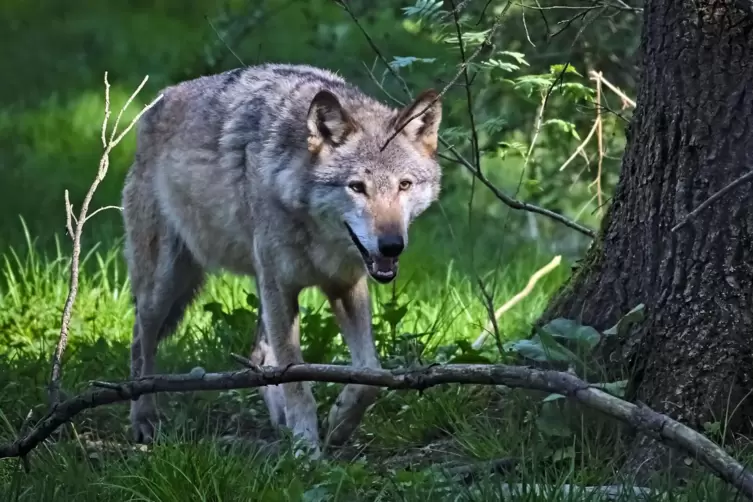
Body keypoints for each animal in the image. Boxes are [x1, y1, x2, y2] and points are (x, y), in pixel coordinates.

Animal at [120, 62, 444, 454]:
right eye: (356, 187)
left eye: (404, 185)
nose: (391, 245)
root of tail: (157, 103)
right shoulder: (282, 286)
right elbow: (296, 379)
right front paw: (306, 449)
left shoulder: (344, 284)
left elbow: (370, 373)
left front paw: (338, 424)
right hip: (165, 286)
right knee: (140, 340)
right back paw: (143, 418)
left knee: (259, 355)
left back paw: (281, 423)